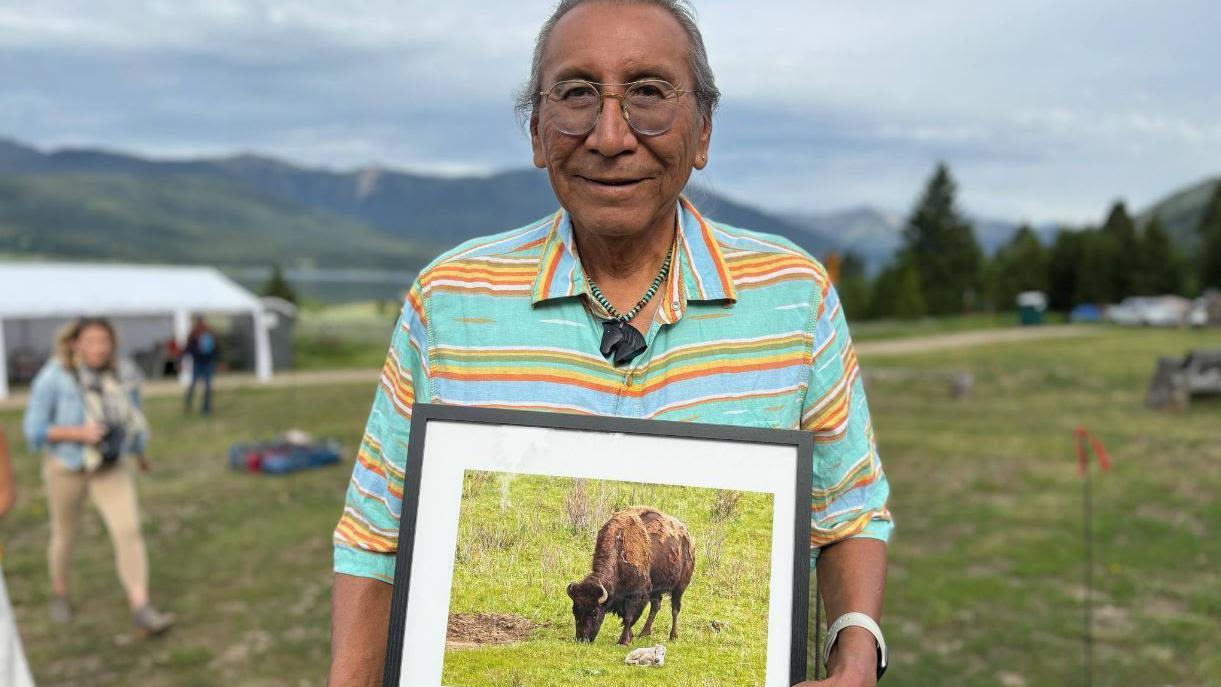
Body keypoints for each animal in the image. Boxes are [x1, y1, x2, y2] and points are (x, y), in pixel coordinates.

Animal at [564, 505, 693, 644]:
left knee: (675, 608)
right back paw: (644, 633)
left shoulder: (636, 595)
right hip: (656, 589)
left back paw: (673, 636)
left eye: (595, 613)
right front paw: (630, 636)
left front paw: (623, 641)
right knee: (656, 606)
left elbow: (628, 618)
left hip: (680, 587)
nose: (582, 639)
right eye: (575, 611)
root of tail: (687, 535)